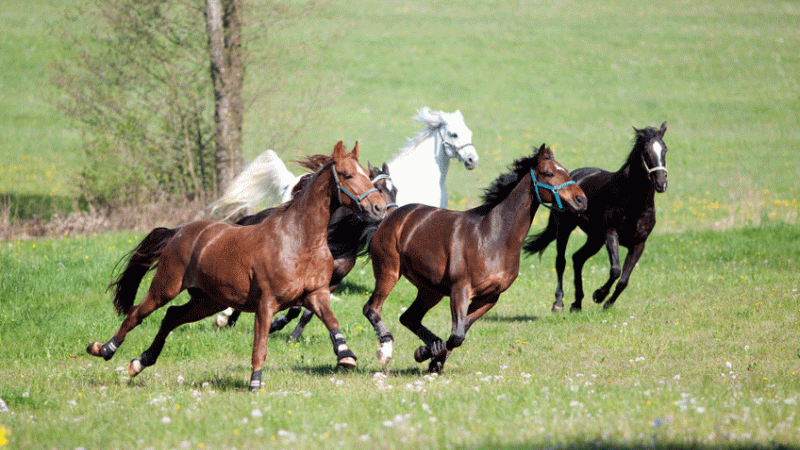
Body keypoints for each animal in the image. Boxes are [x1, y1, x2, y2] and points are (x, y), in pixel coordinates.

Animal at [87, 142, 388, 390]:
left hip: (208, 300)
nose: (379, 208)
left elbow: (329, 320)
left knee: (171, 316)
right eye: (348, 175)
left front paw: (346, 355)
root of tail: (181, 232)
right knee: (137, 314)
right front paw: (255, 383)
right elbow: (260, 345)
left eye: (366, 174)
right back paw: (105, 349)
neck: (300, 241)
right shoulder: (266, 303)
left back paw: (140, 362)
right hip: (166, 287)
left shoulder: (316, 294)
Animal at [362, 144, 588, 372]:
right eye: (549, 173)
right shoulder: (460, 290)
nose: (581, 200)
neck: (493, 237)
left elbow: (458, 334)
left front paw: (431, 356)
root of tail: (391, 217)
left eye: (567, 171)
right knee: (372, 309)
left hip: (431, 291)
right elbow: (457, 335)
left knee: (409, 317)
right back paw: (385, 350)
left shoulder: (489, 297)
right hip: (389, 272)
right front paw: (427, 354)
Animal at [524, 123, 668, 312]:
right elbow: (616, 269)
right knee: (561, 261)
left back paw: (577, 303)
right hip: (565, 229)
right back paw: (559, 302)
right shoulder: (611, 234)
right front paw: (599, 295)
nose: (661, 183)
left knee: (577, 258)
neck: (633, 203)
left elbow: (624, 280)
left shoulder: (639, 244)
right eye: (646, 152)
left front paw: (607, 303)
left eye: (665, 149)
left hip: (595, 239)